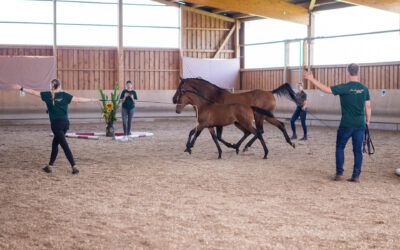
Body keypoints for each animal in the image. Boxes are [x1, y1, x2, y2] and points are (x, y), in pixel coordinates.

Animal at [170, 78, 302, 151]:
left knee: (259, 131)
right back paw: (290, 142)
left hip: (259, 117)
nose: (174, 100)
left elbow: (216, 136)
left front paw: (190, 146)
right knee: (279, 125)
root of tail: (270, 92)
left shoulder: (215, 122)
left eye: (180, 88)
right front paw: (190, 146)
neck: (213, 96)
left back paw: (245, 147)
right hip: (266, 116)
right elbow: (204, 134)